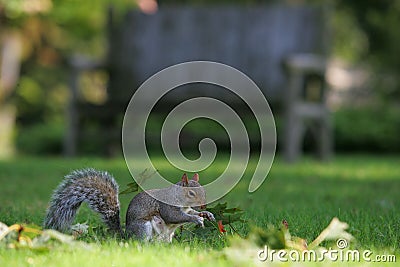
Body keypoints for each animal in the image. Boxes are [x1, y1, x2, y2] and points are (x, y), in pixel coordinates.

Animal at [43, 169, 216, 242]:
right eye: (191, 193)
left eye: (204, 190)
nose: (203, 206)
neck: (178, 197)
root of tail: (125, 236)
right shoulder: (167, 206)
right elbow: (174, 216)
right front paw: (196, 219)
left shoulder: (187, 208)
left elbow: (189, 212)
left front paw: (206, 214)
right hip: (144, 227)